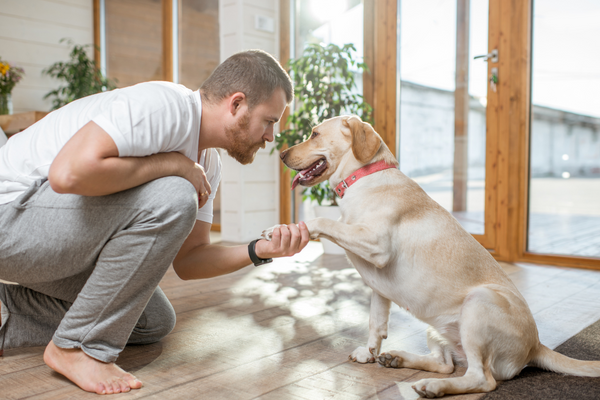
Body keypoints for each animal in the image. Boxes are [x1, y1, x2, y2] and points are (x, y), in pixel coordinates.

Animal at [262, 115, 600, 396]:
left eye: (315, 133)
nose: (280, 154)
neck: (364, 177)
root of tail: (535, 346)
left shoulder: (376, 244)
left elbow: (324, 221)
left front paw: (285, 229)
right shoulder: (378, 288)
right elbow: (375, 324)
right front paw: (369, 353)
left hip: (478, 304)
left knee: (481, 379)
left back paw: (432, 386)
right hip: (437, 327)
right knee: (447, 364)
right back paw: (397, 358)